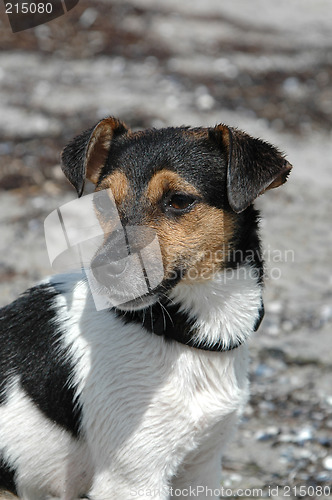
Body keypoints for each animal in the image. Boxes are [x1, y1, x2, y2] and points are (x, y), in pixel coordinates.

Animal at [0, 118, 290, 500]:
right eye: (103, 203)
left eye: (179, 200)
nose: (104, 271)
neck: (181, 334)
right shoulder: (132, 479)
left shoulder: (202, 467)